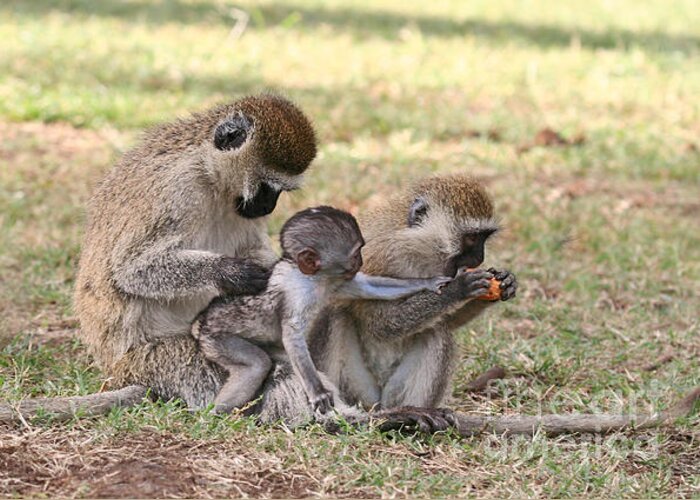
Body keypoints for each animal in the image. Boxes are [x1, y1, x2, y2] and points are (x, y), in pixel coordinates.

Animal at [72, 94, 316, 406]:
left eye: (279, 192)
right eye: (266, 187)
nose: (268, 207)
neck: (208, 172)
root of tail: (116, 370)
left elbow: (252, 247)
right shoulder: (178, 190)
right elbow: (131, 269)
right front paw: (231, 273)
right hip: (157, 361)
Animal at [194, 205, 452, 412]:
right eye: (356, 252)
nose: (360, 261)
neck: (313, 278)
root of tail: (202, 322)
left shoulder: (335, 281)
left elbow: (367, 287)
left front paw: (432, 283)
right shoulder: (298, 293)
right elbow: (292, 336)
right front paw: (317, 392)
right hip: (216, 339)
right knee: (256, 365)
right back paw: (216, 413)